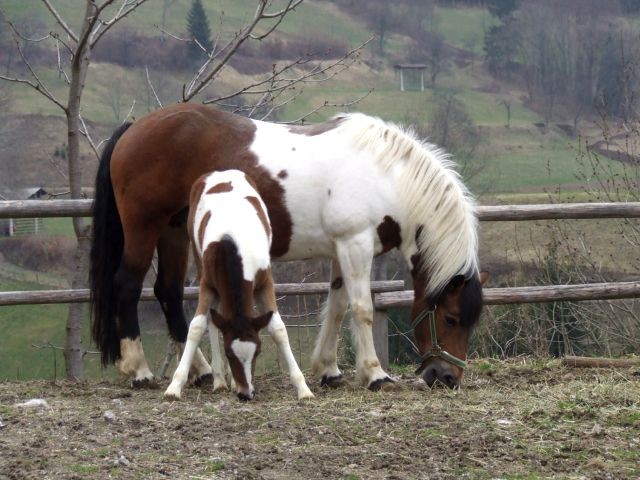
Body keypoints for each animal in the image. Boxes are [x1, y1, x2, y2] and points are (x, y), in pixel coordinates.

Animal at [164, 170, 314, 402]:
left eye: (258, 352)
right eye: (228, 353)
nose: (245, 394)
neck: (232, 246)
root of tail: (219, 173)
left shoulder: (265, 282)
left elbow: (278, 329)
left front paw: (303, 388)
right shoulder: (207, 284)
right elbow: (197, 327)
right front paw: (175, 386)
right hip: (198, 260)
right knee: (213, 320)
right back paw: (219, 380)